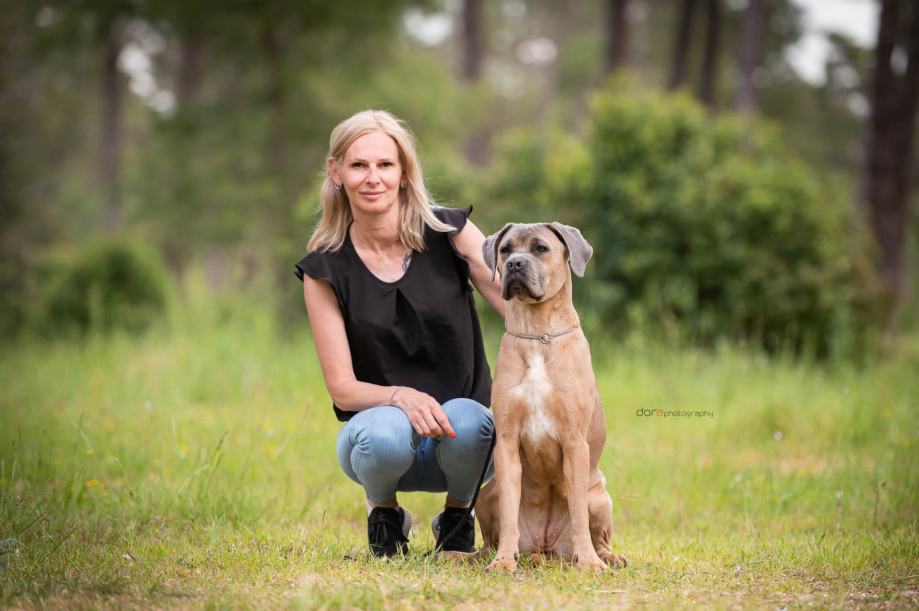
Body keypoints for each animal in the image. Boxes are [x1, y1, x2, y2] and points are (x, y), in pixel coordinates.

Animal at [474, 222, 624, 572]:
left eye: (540, 248)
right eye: (505, 249)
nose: (515, 264)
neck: (537, 333)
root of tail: (547, 547)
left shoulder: (574, 443)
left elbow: (579, 515)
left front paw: (589, 563)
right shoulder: (507, 443)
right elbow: (508, 517)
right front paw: (504, 561)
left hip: (600, 497)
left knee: (599, 534)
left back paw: (606, 557)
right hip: (487, 493)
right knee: (491, 535)